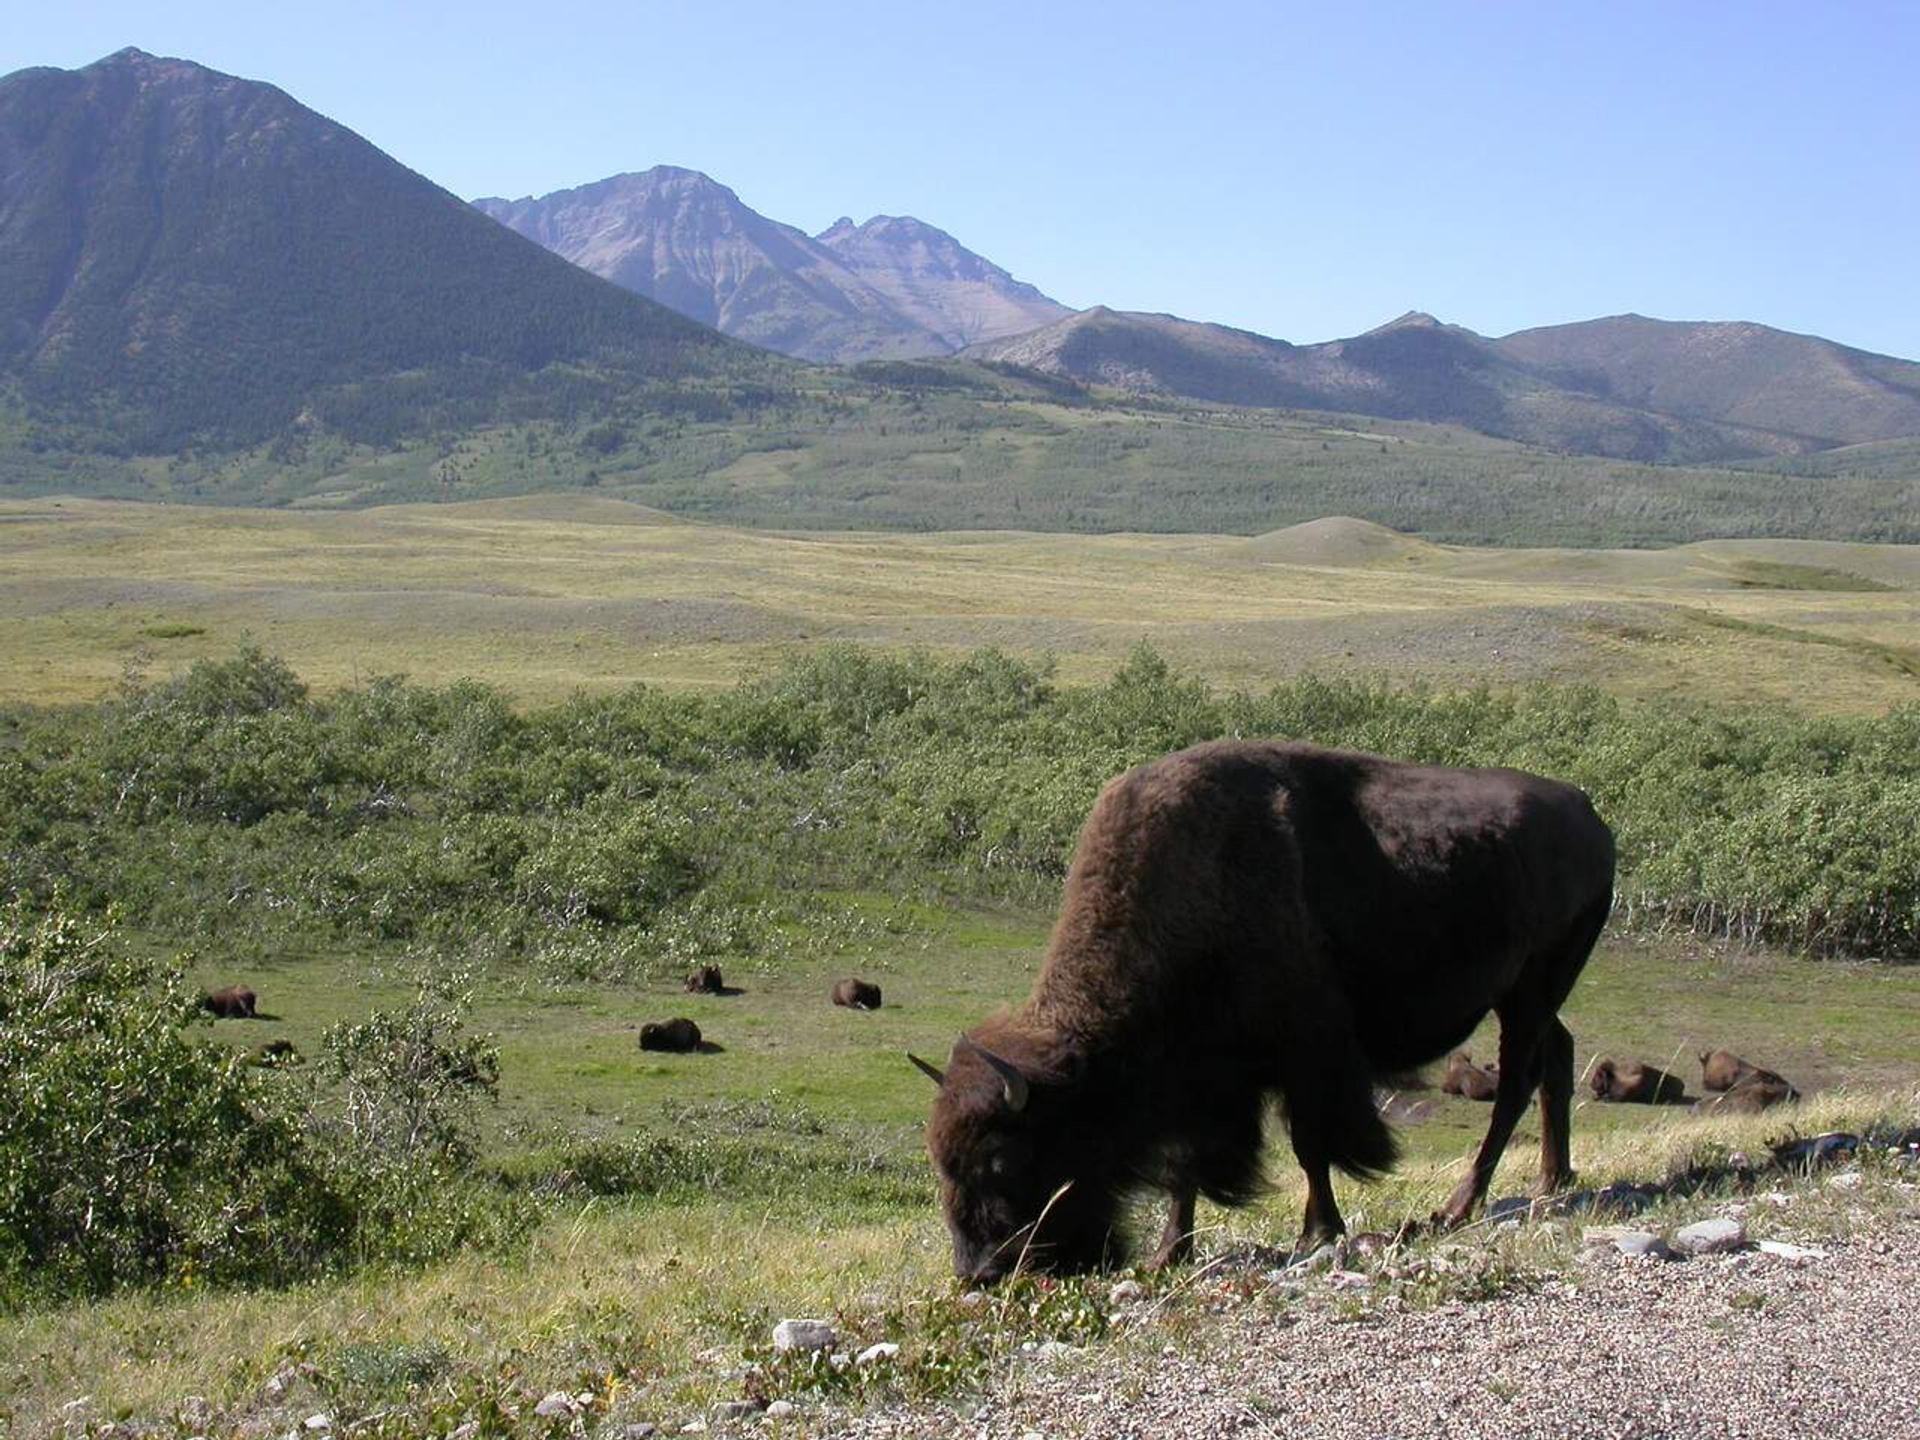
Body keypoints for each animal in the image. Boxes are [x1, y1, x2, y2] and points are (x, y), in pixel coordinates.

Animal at [914, 739, 1615, 1283]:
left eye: (1003, 1159)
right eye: (943, 1162)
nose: (980, 1273)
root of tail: (1590, 817)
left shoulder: (1305, 1057)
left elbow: (1309, 1147)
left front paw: (1317, 1234)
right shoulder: (1202, 1082)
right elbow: (1186, 1167)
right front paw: (1170, 1253)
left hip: (1531, 989)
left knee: (1517, 1085)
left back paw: (1456, 1207)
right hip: (1528, 994)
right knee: (1557, 1058)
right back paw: (1551, 1183)